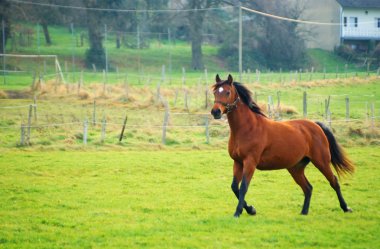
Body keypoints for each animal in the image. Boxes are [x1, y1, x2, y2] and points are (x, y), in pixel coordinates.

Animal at [209, 74, 354, 218]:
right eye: (215, 92)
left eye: (227, 92)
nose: (215, 112)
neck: (247, 128)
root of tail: (316, 125)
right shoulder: (238, 162)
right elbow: (235, 187)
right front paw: (251, 209)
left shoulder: (250, 162)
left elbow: (244, 187)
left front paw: (239, 212)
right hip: (296, 168)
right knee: (308, 188)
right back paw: (304, 212)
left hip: (321, 162)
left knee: (334, 181)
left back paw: (346, 207)